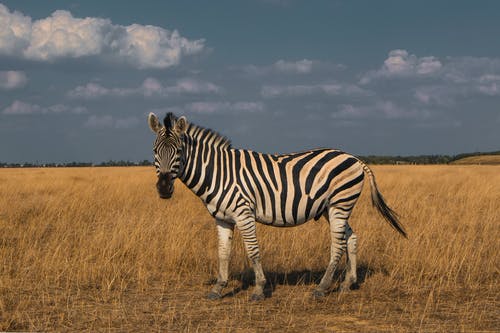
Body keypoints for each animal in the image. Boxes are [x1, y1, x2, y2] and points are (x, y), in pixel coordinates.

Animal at [148, 112, 406, 300]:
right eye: (154, 151)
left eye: (179, 151)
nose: (163, 189)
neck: (218, 173)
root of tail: (355, 158)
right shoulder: (222, 218)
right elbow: (222, 252)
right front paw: (218, 289)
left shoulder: (243, 212)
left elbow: (253, 251)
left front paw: (259, 290)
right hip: (332, 208)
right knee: (350, 238)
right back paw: (346, 284)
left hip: (339, 204)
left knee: (338, 244)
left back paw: (321, 288)